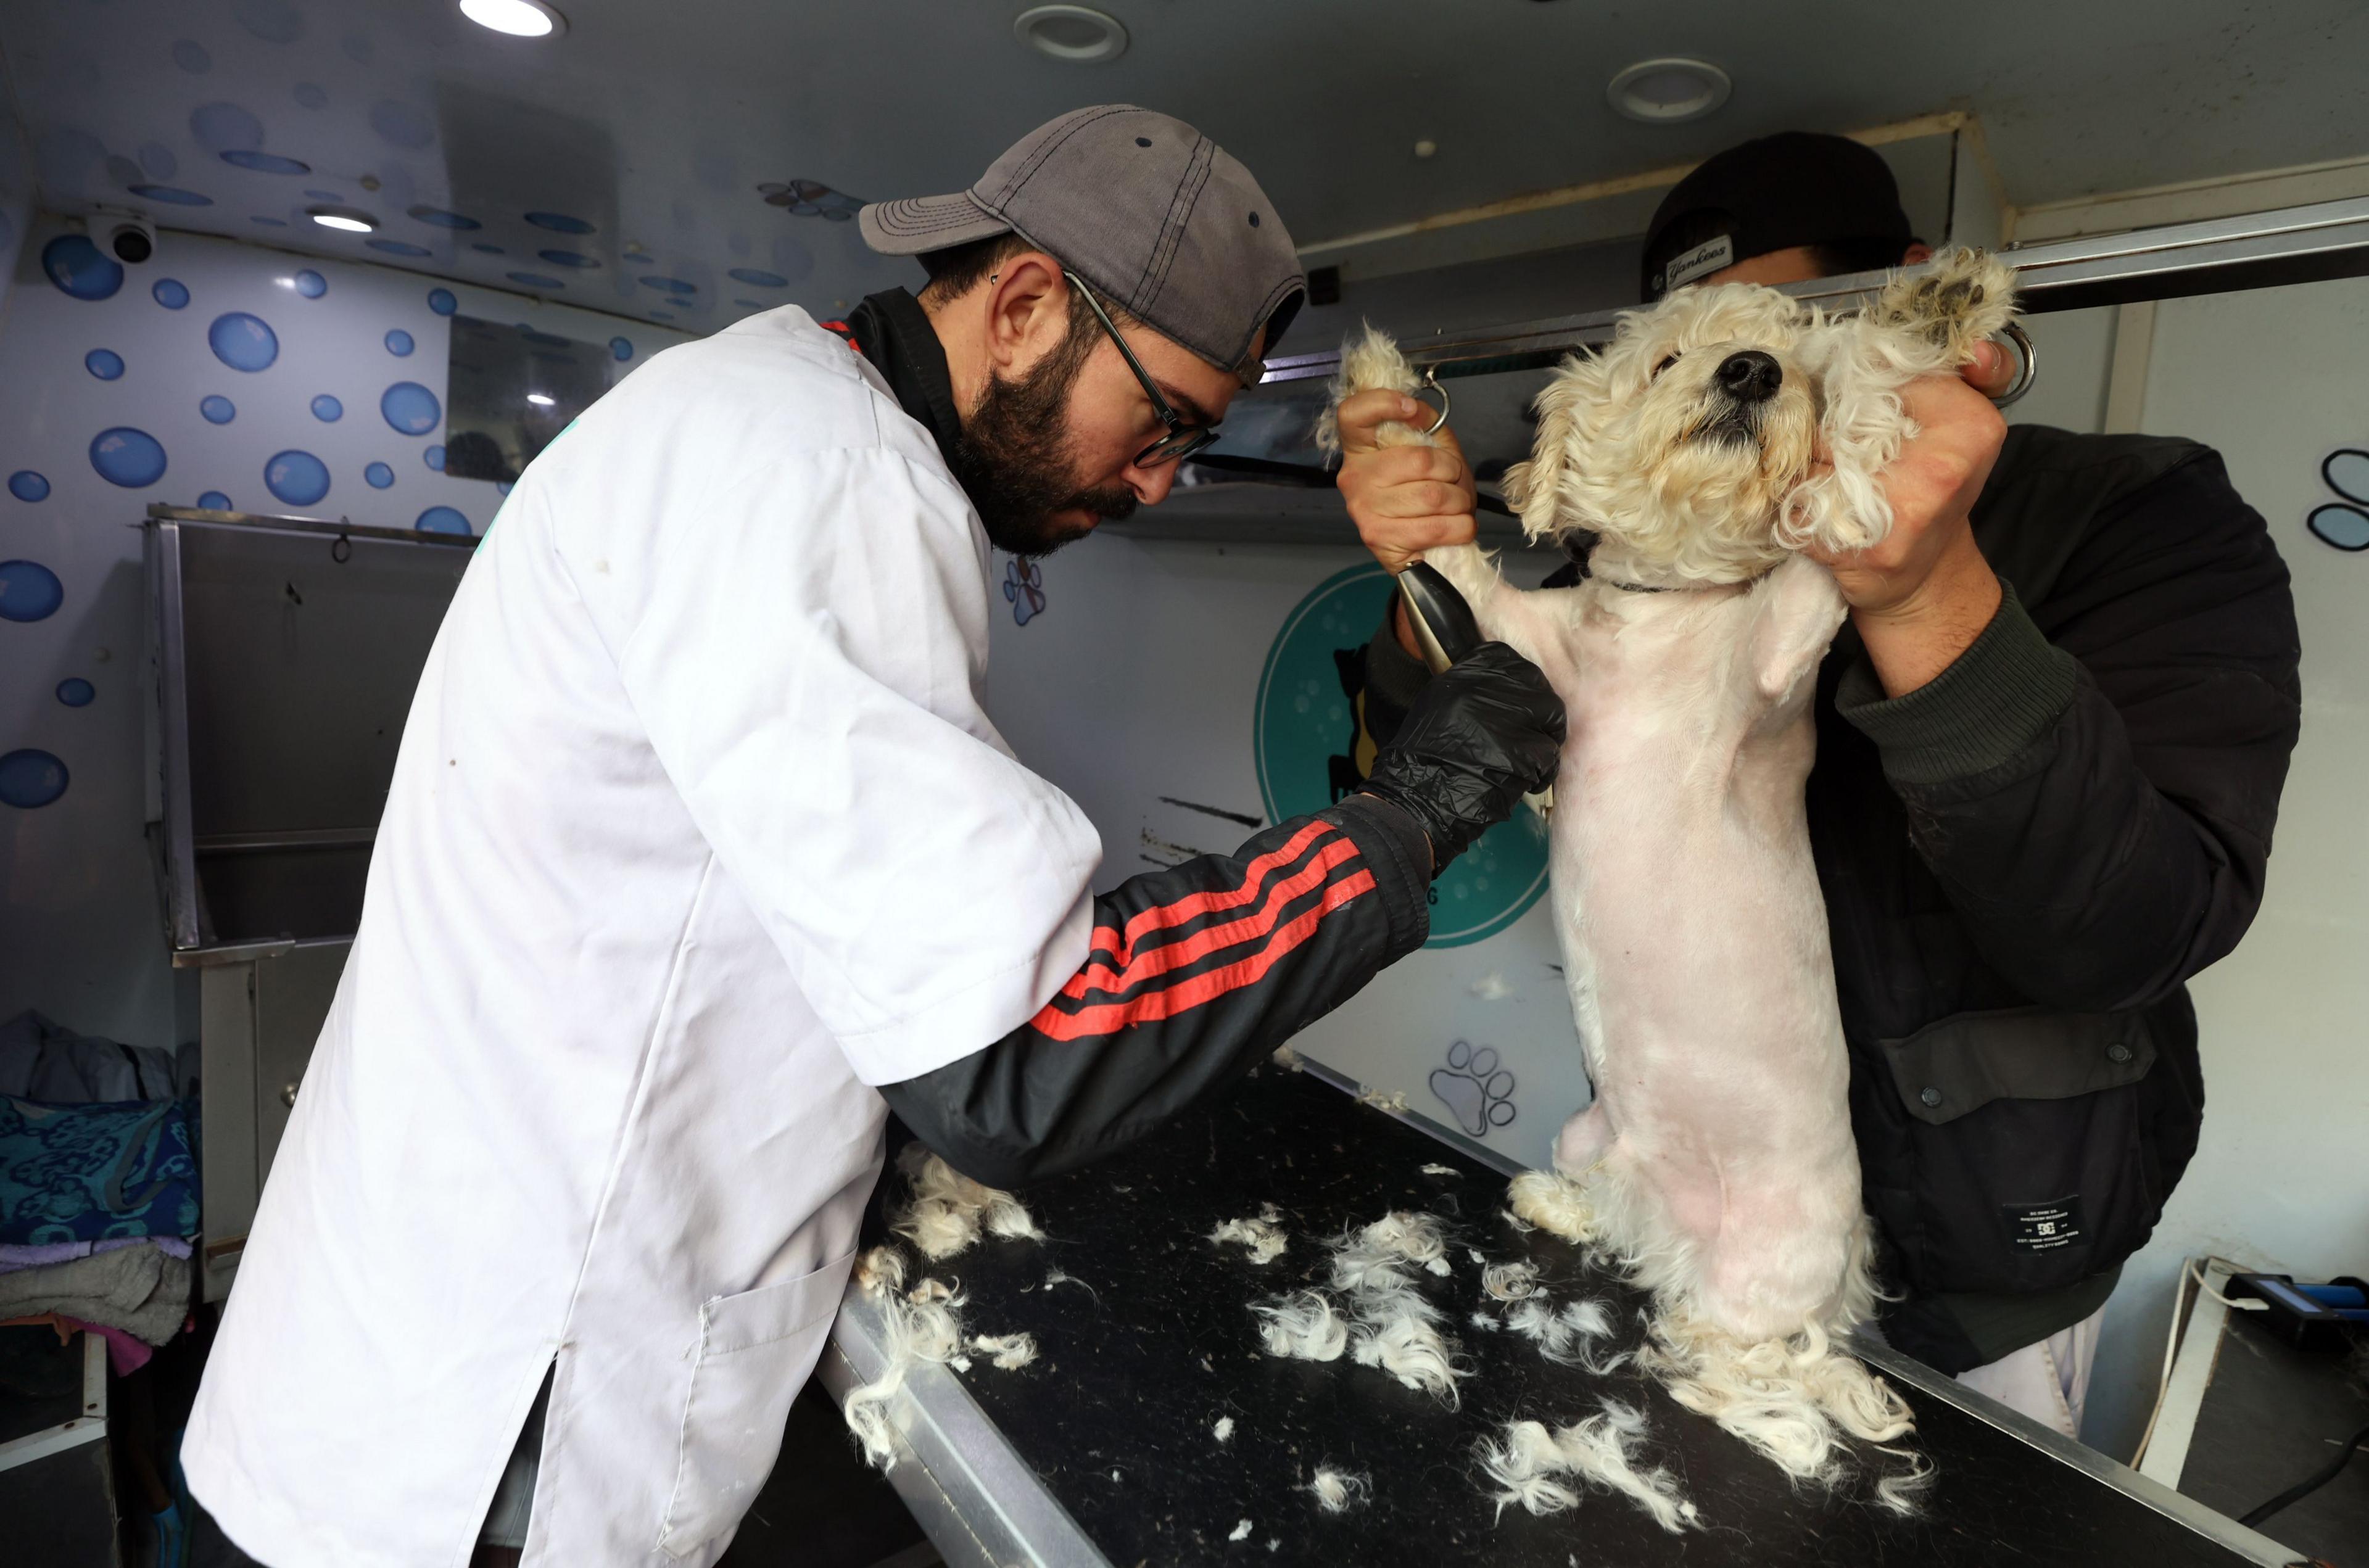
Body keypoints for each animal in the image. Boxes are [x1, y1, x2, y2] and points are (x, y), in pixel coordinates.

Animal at [1336, 252, 2018, 1506]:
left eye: (1792, 363)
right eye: (1664, 358)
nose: (1749, 370)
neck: (1668, 616)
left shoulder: (1789, 642)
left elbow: (1851, 472)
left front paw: (1930, 314)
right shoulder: (1517, 639)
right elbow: (1449, 565)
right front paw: (1378, 394)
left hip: (1763, 1283)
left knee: (1768, 1361)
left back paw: (1727, 1372)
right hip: (1588, 1133)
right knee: (1617, 1219)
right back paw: (1561, 1202)